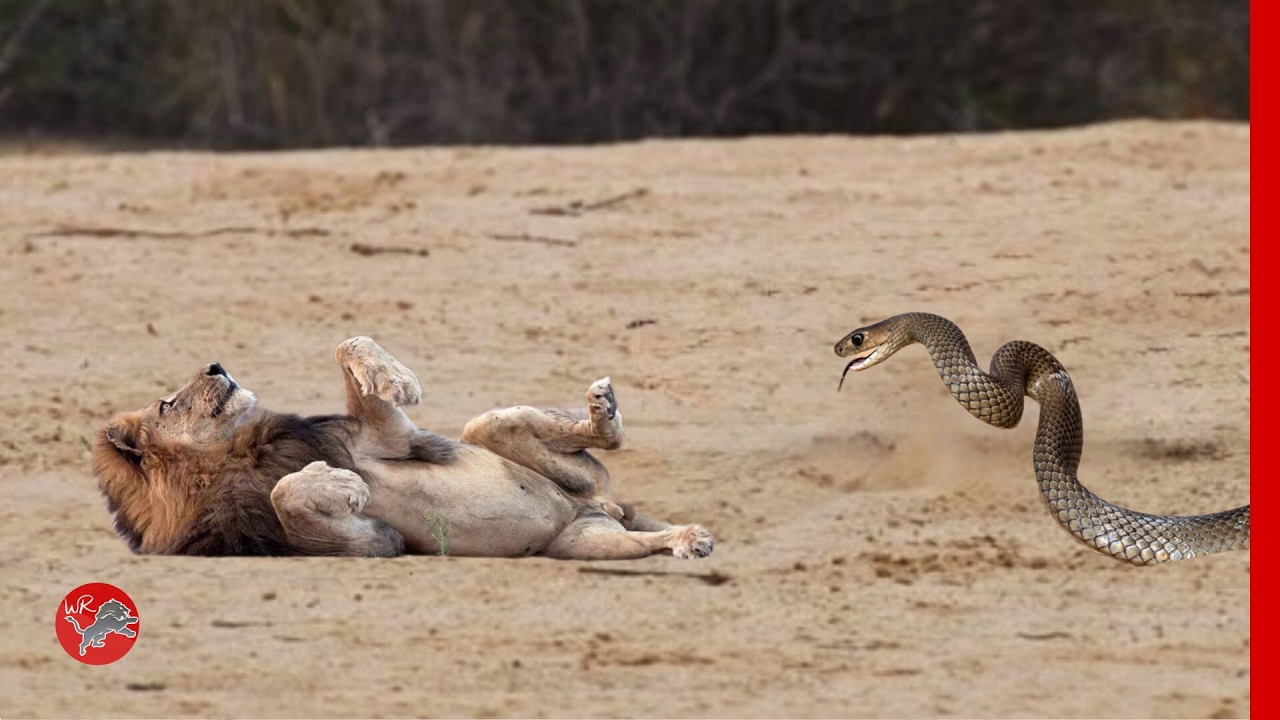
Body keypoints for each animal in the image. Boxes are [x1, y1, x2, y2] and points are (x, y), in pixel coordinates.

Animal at [92, 337, 714, 560]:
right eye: (167, 404)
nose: (216, 365)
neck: (237, 456)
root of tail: (600, 508)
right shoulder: (364, 544)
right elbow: (287, 495)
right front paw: (335, 483)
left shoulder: (389, 439)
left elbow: (349, 344)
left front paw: (396, 378)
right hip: (583, 544)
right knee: (639, 540)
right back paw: (688, 540)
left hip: (488, 436)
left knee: (589, 439)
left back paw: (603, 408)